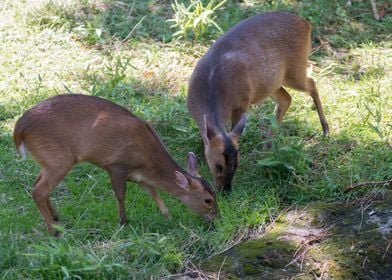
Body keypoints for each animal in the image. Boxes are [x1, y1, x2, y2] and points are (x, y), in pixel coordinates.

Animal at [13, 93, 217, 234]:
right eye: (208, 200)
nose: (215, 218)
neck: (148, 160)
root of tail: (19, 130)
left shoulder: (140, 177)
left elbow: (154, 193)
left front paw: (169, 216)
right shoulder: (117, 165)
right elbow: (120, 195)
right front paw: (123, 222)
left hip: (48, 159)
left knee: (38, 185)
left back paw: (56, 219)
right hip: (58, 158)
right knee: (38, 191)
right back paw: (55, 231)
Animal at [188, 10, 330, 190]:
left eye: (237, 163)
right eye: (218, 166)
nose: (225, 190)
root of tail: (306, 23)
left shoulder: (242, 104)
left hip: (295, 70)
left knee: (311, 83)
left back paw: (325, 129)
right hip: (271, 83)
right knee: (287, 98)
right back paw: (266, 146)